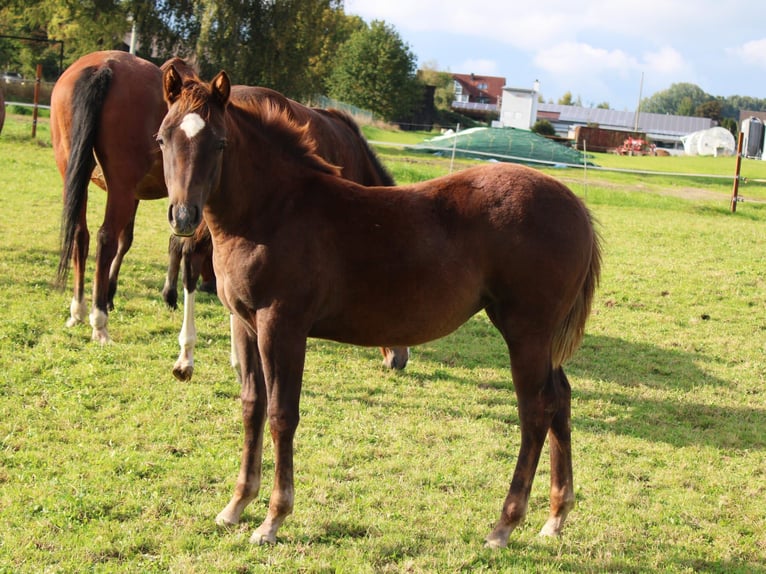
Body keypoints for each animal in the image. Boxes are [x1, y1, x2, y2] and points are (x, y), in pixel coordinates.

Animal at [50, 51, 407, 377]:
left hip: (75, 171)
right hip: (122, 186)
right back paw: (100, 322)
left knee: (81, 234)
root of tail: (103, 65)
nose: (399, 358)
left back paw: (79, 309)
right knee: (106, 238)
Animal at [157, 67, 602, 548]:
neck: (274, 211)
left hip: (526, 332)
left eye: (220, 143)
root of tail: (576, 207)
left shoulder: (283, 326)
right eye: (163, 139)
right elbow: (252, 406)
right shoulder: (246, 324)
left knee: (536, 409)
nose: (184, 217)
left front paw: (273, 519)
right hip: (542, 338)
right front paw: (236, 505)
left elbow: (281, 414)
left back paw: (504, 524)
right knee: (561, 399)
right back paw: (555, 516)